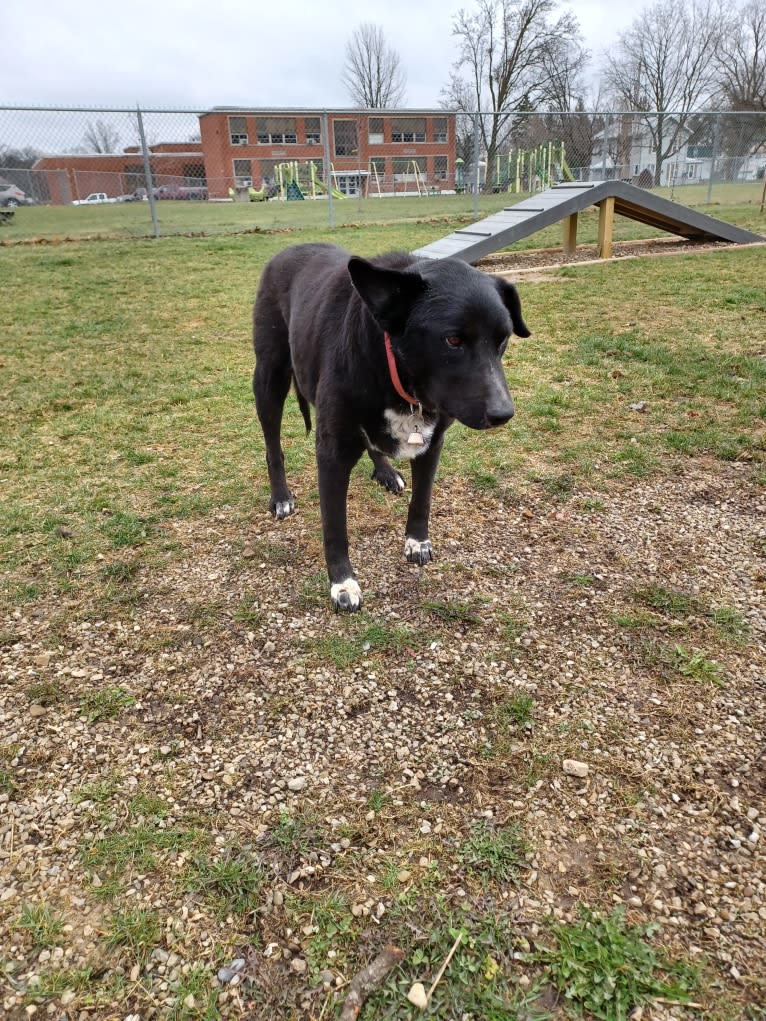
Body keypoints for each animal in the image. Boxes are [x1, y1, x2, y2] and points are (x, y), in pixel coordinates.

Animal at [255, 245, 531, 612]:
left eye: (503, 340)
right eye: (452, 340)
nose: (503, 413)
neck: (391, 366)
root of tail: (289, 249)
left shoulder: (432, 442)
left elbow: (422, 499)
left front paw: (417, 541)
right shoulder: (332, 453)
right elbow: (334, 526)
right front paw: (342, 582)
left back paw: (385, 471)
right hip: (269, 378)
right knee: (273, 447)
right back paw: (281, 497)